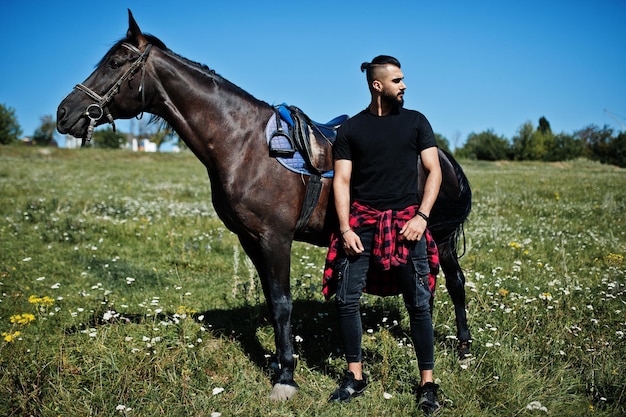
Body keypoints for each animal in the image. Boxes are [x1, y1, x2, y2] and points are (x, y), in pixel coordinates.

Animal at [57, 10, 468, 400]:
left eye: (114, 63)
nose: (64, 113)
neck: (243, 144)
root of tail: (441, 156)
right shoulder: (250, 239)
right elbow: (271, 302)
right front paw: (276, 363)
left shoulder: (275, 238)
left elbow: (283, 303)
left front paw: (287, 376)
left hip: (437, 238)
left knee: (454, 283)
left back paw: (463, 350)